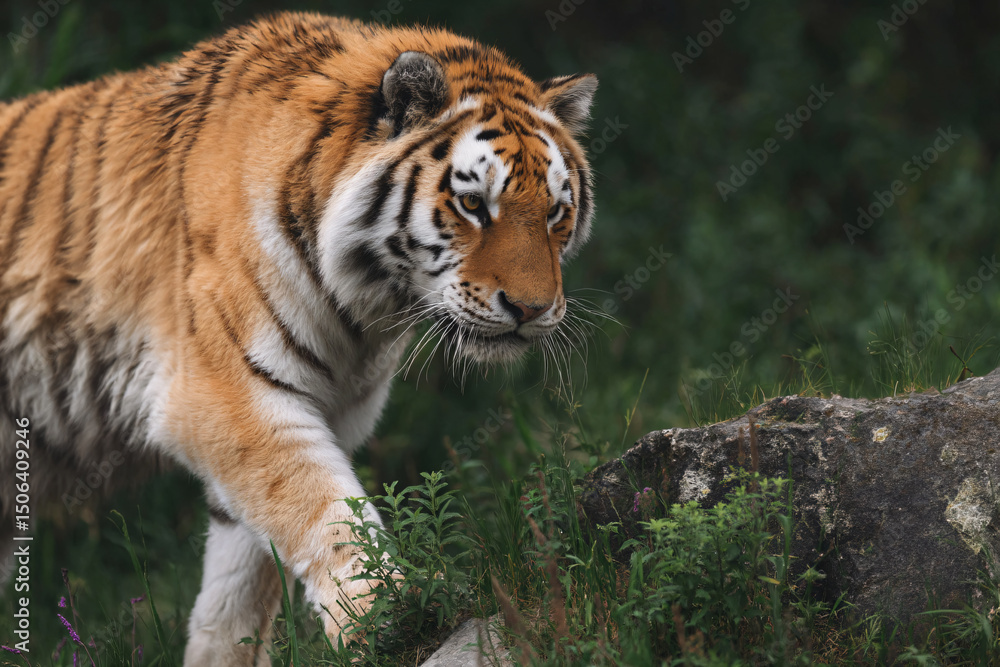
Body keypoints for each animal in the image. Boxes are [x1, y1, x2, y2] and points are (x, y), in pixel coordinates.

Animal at [0, 11, 596, 665]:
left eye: (554, 213)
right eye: (472, 204)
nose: (531, 309)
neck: (363, 312)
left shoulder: (319, 412)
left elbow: (242, 582)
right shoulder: (227, 397)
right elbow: (321, 509)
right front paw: (388, 615)